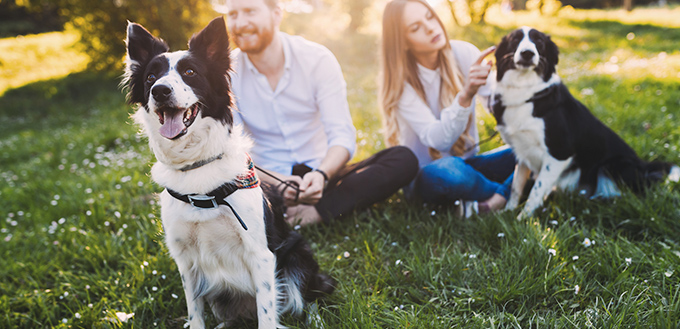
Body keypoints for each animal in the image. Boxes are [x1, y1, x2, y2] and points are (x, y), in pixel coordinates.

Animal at [123, 17, 336, 326]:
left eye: (190, 72)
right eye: (151, 77)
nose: (160, 91)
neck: (196, 167)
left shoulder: (261, 254)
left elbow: (267, 315)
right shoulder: (185, 259)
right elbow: (195, 312)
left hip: (297, 255)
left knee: (306, 299)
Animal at [494, 26, 680, 218]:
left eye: (539, 42)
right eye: (515, 40)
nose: (527, 53)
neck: (527, 92)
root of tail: (644, 168)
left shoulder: (559, 153)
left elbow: (536, 190)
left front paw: (523, 218)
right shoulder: (522, 153)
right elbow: (516, 187)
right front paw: (507, 212)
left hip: (612, 165)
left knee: (624, 196)